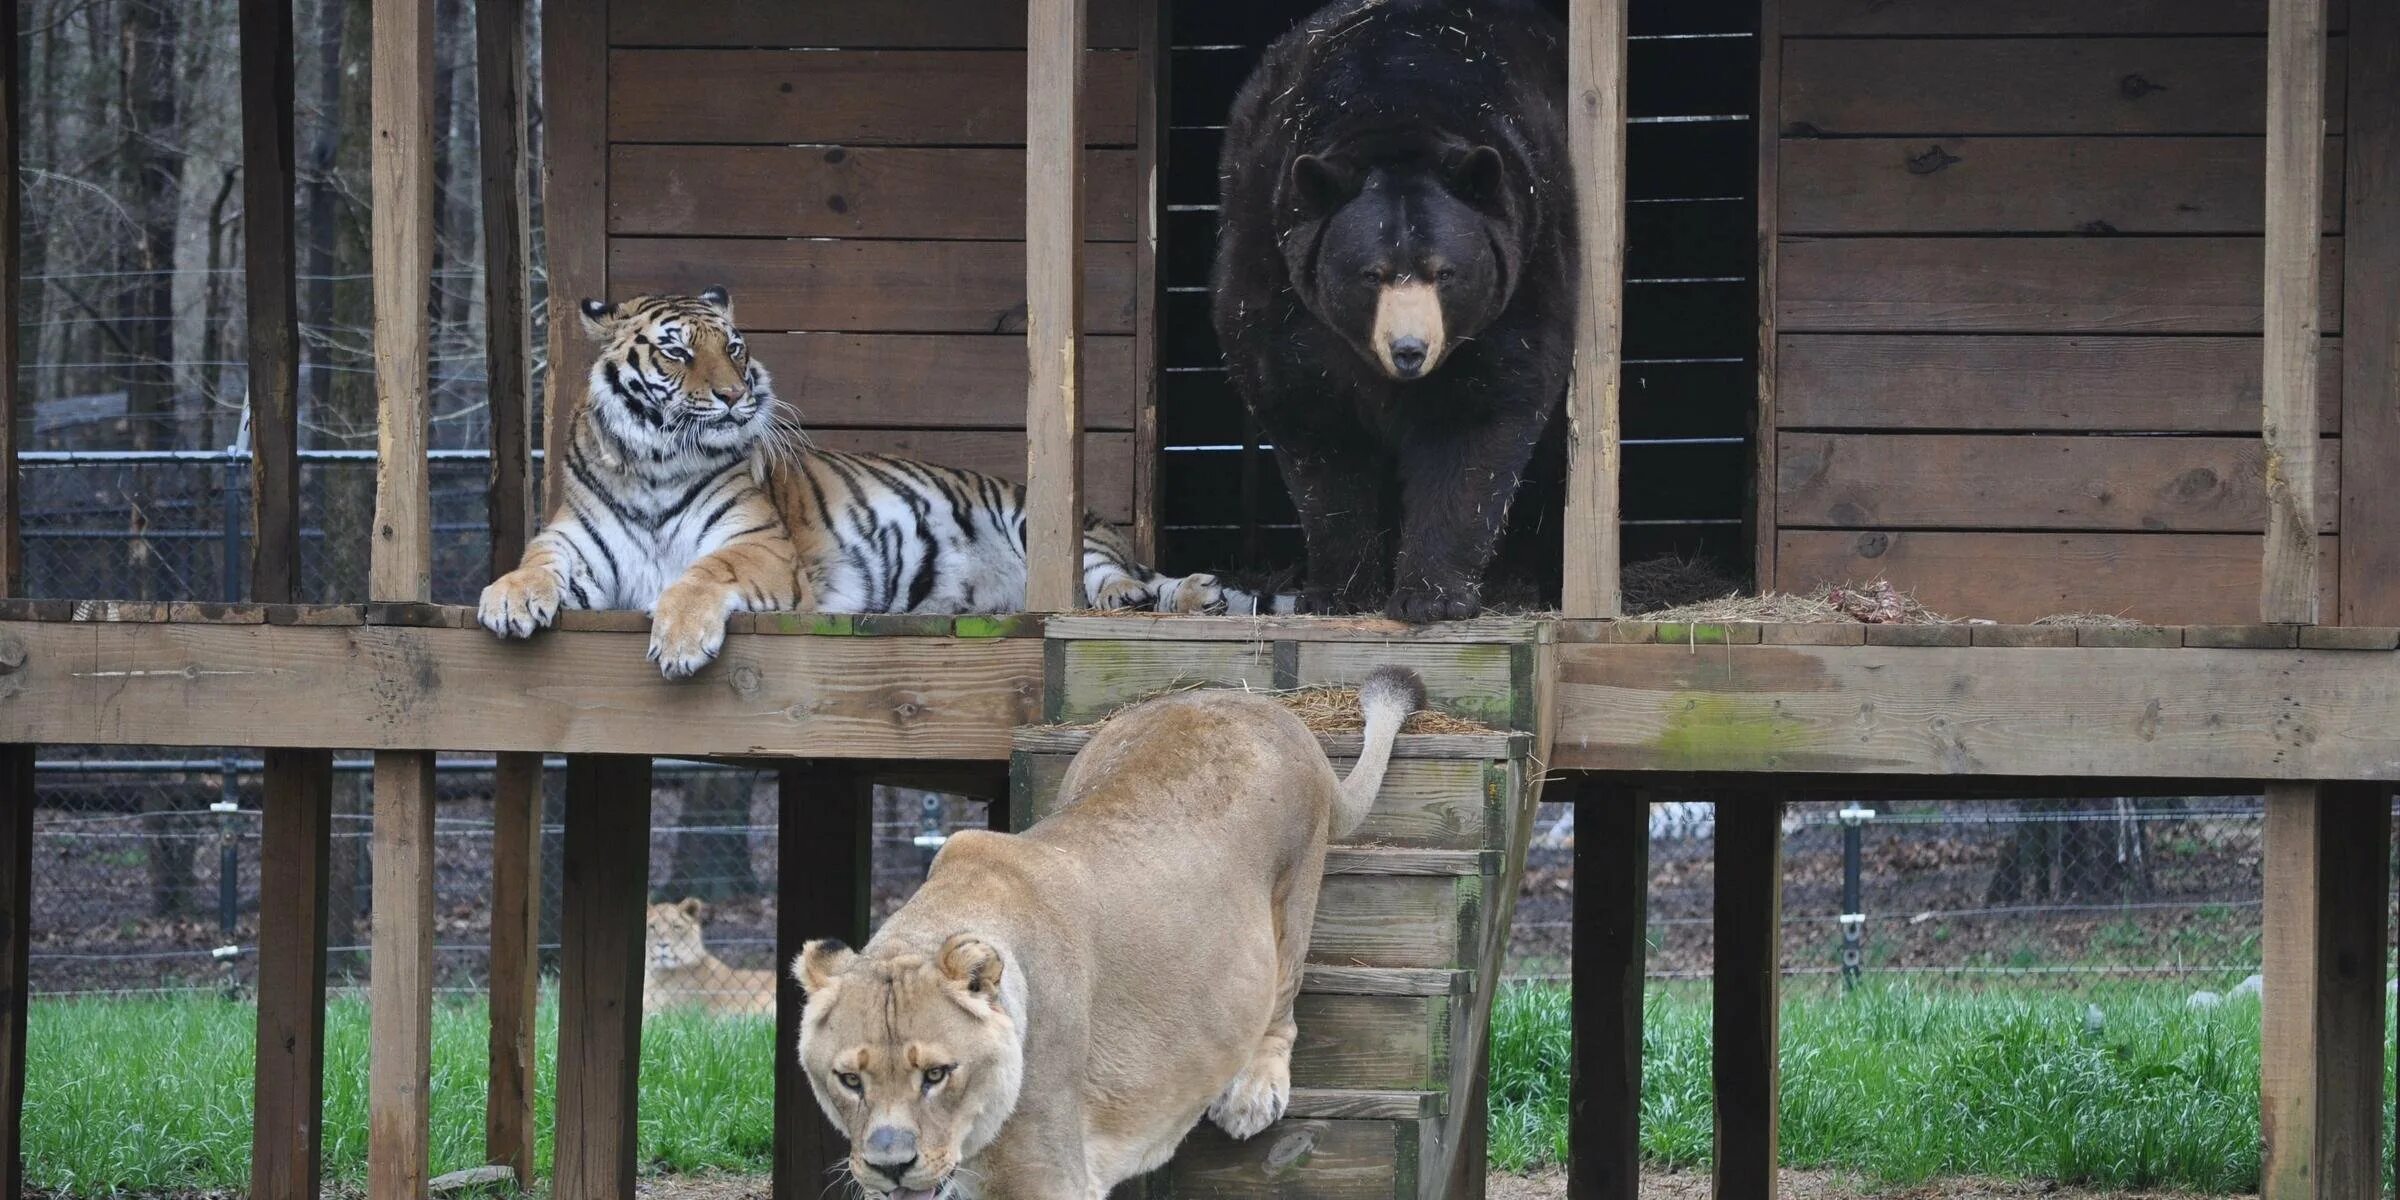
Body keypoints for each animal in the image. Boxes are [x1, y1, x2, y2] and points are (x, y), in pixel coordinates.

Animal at [472, 284, 1219, 672]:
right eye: (677, 351)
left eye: (734, 347)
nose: (735, 395)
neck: (655, 466)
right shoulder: (576, 546)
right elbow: (535, 564)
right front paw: (508, 599)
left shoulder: (760, 546)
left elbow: (702, 574)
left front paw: (679, 641)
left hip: (1043, 524)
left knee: (1117, 578)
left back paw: (1170, 595)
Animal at [796, 667, 1420, 1200]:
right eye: (849, 1079)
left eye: (936, 1074)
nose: (890, 1165)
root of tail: (1264, 705)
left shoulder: (1049, 1178)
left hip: (1293, 899)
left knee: (1282, 1001)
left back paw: (1251, 1092)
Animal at [1209, 0, 1584, 624]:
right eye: (1372, 274)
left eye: (1445, 272)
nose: (1410, 350)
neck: (1395, 102)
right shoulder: (1275, 267)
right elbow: (1311, 416)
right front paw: (1337, 590)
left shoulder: (1525, 263)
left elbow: (1480, 415)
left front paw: (1432, 596)